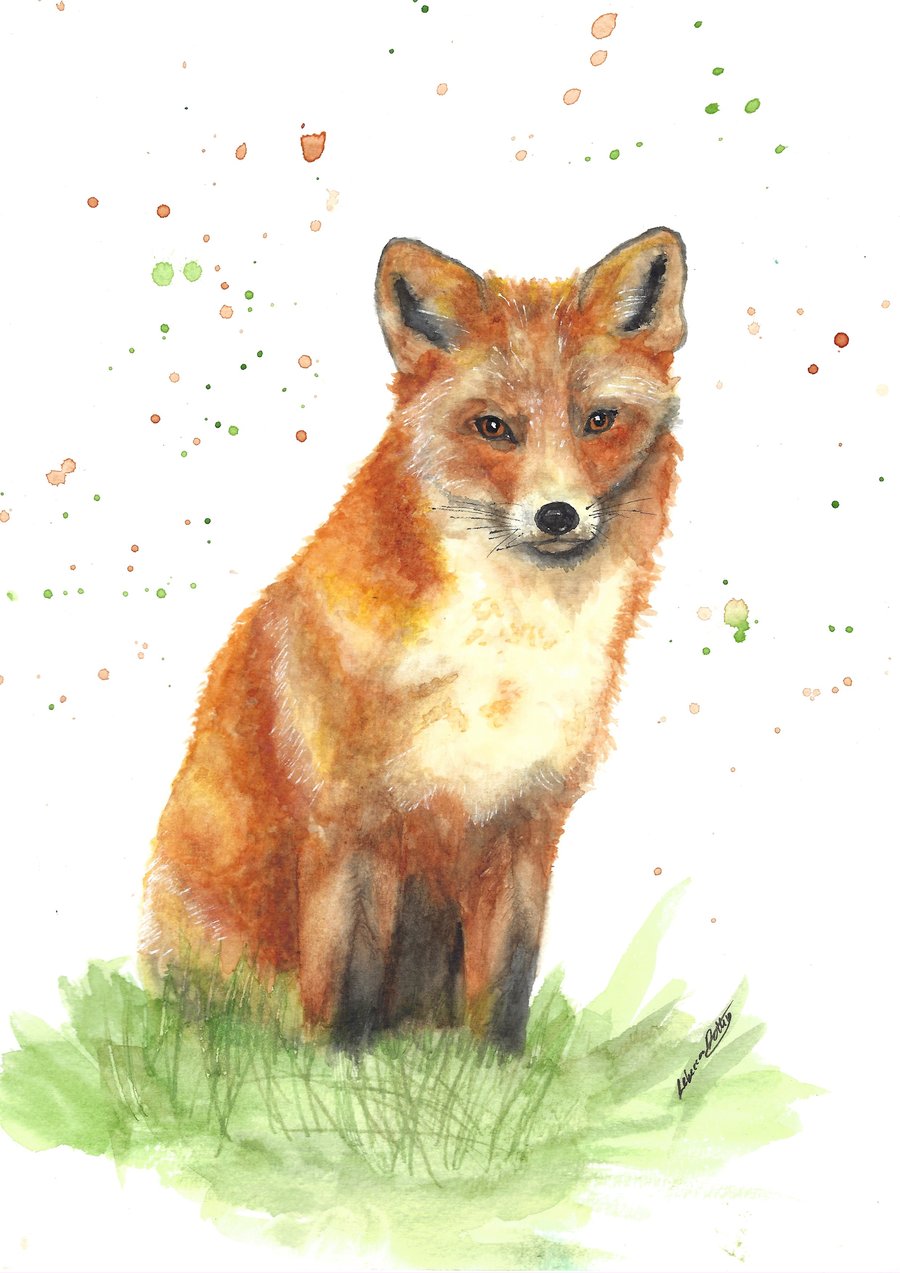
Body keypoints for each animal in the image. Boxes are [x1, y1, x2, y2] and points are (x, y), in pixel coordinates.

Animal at [140, 227, 687, 1052]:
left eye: (598, 420)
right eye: (493, 427)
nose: (557, 514)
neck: (505, 648)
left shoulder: (525, 825)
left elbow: (504, 989)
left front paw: (498, 1075)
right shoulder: (350, 824)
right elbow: (345, 991)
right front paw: (341, 1077)